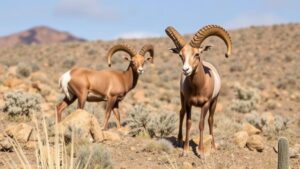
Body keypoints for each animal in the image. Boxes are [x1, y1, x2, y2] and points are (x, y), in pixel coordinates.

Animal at [166, 24, 232, 157]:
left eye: (197, 54)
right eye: (181, 55)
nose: (186, 70)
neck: (199, 87)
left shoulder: (205, 104)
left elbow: (201, 124)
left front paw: (201, 151)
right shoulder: (188, 103)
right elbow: (188, 123)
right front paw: (185, 150)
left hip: (214, 103)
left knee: (210, 120)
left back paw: (213, 146)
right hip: (182, 99)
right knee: (181, 113)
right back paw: (179, 140)